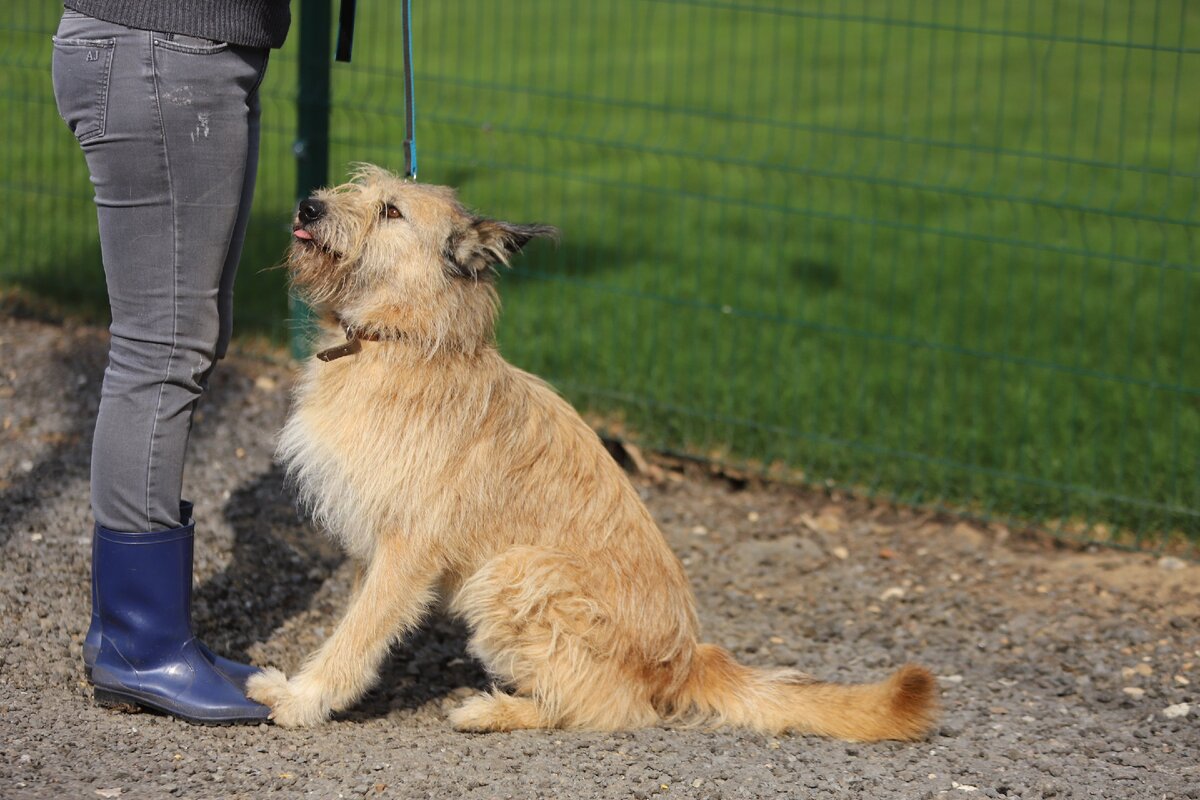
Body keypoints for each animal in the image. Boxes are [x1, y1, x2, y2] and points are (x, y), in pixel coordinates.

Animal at [243, 165, 936, 743]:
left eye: (390, 210)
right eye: (356, 184)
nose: (307, 203)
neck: (396, 338)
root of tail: (685, 661)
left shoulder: (408, 547)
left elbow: (357, 636)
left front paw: (303, 700)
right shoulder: (376, 544)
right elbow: (354, 625)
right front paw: (300, 686)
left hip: (516, 573)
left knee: (613, 709)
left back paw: (496, 711)